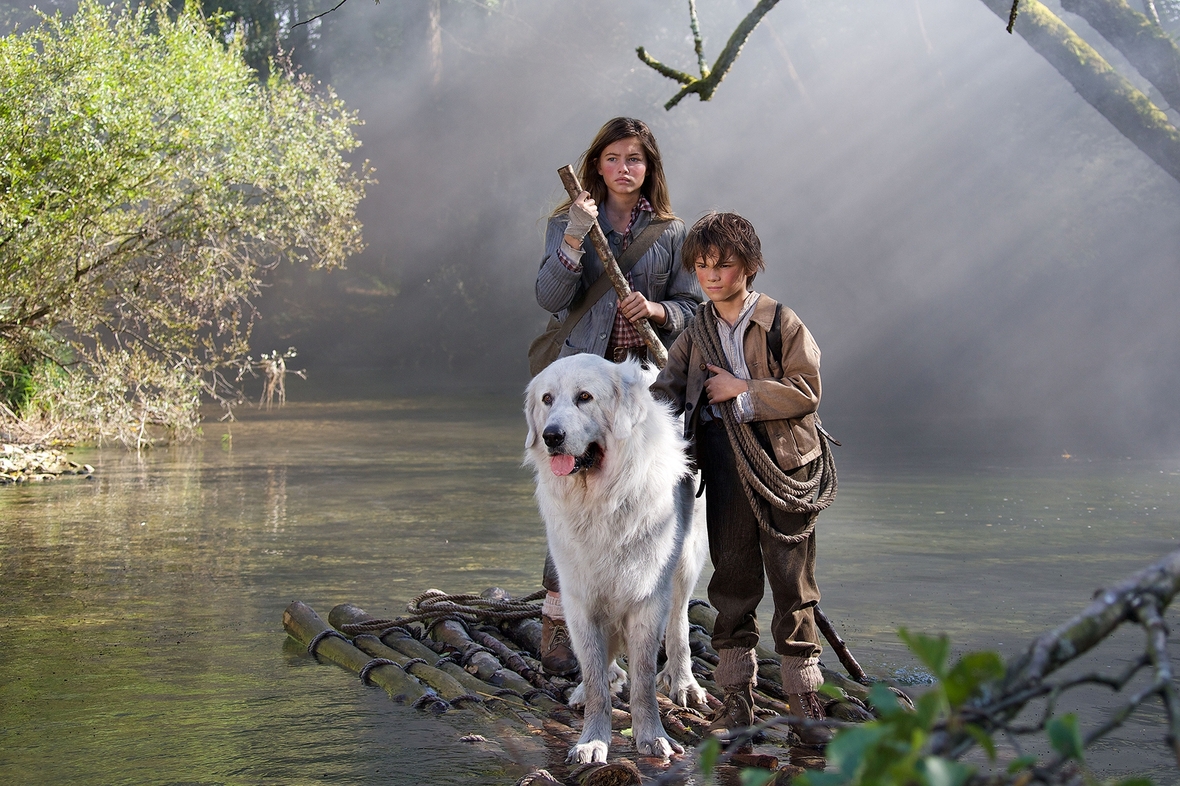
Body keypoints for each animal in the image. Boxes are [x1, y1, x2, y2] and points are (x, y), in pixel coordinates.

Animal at [528, 354, 707, 760]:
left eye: (584, 397)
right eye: (547, 399)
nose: (551, 436)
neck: (602, 500)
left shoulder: (647, 597)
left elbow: (643, 679)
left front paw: (652, 736)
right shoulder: (580, 597)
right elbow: (594, 675)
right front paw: (592, 739)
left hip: (685, 563)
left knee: (680, 623)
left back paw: (684, 682)